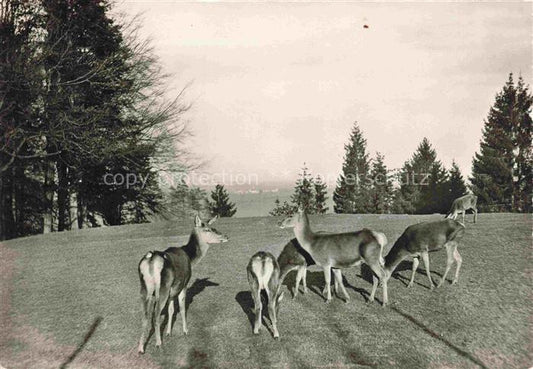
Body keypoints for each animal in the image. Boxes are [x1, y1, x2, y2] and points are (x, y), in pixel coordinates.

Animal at [136, 214, 228, 352]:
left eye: (214, 228)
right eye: (208, 229)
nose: (226, 236)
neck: (190, 257)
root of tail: (151, 259)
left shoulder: (172, 291)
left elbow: (171, 310)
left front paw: (169, 332)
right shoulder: (184, 284)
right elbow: (182, 308)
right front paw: (185, 330)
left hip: (144, 288)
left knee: (145, 316)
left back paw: (141, 348)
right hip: (163, 287)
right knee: (156, 315)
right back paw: (158, 343)